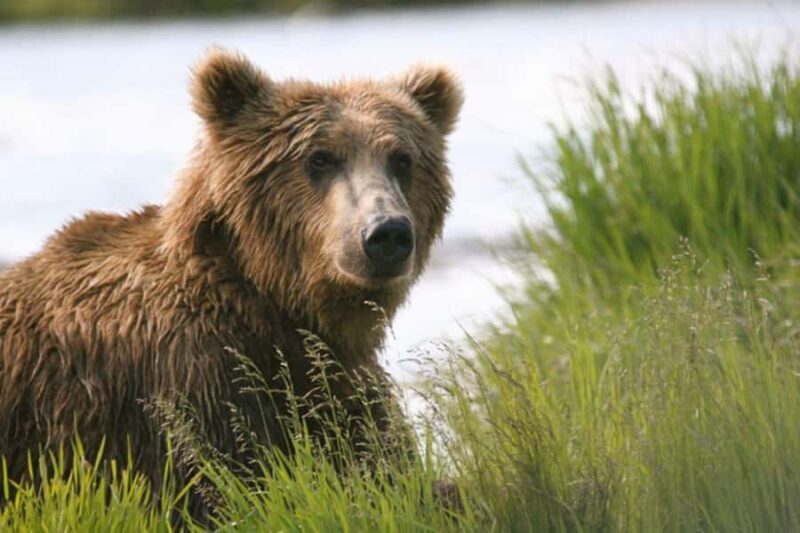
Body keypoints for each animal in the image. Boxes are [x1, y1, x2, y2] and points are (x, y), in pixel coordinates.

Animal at [0, 49, 463, 513]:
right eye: (320, 157)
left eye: (401, 159)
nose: (387, 233)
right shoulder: (190, 387)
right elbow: (226, 484)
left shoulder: (342, 386)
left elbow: (389, 467)